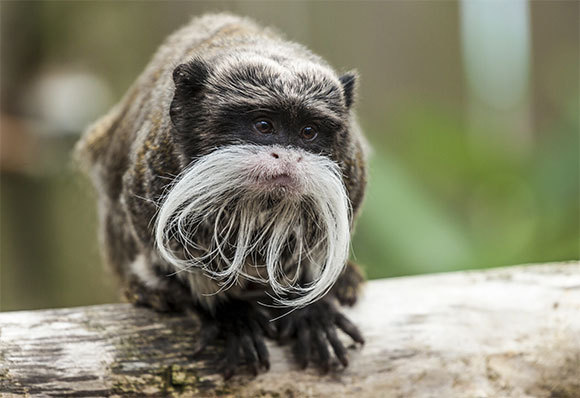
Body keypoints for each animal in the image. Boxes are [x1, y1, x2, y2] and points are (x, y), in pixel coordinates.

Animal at [76, 13, 368, 380]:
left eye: (308, 132)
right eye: (263, 126)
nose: (288, 158)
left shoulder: (351, 174)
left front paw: (310, 309)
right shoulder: (154, 172)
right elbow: (168, 253)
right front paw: (229, 313)